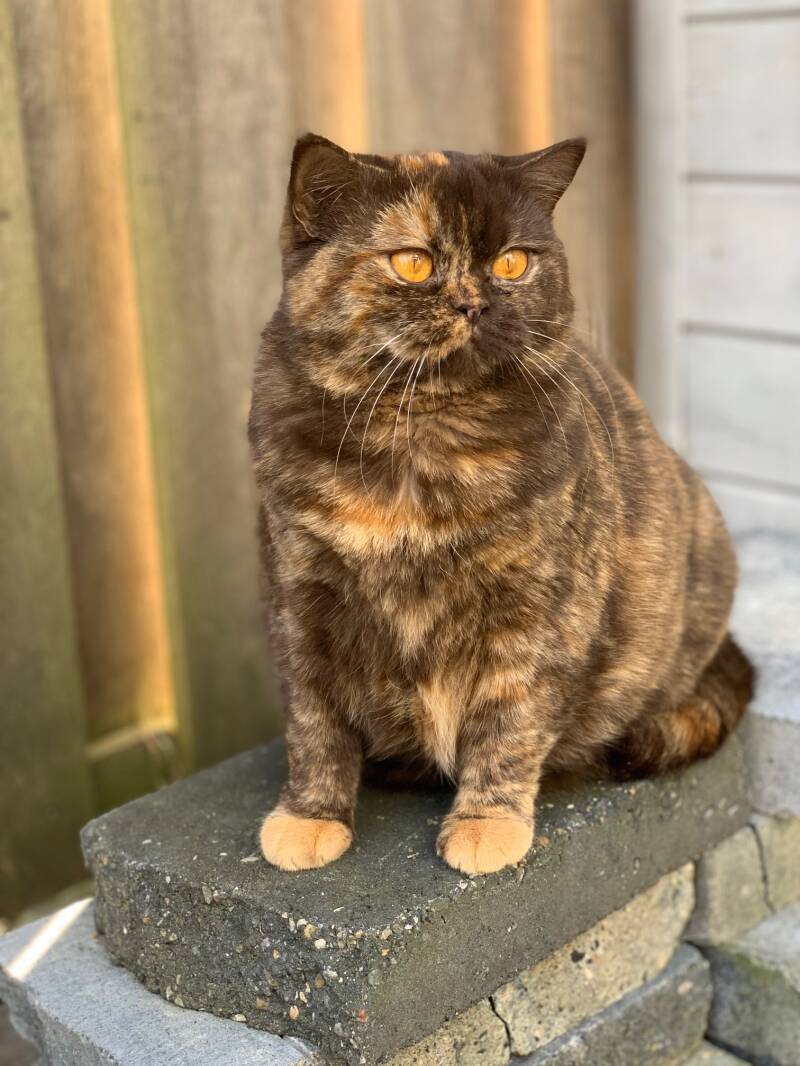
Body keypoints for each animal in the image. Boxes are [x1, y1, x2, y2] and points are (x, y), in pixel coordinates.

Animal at [248, 133, 753, 876]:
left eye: (512, 261)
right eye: (413, 261)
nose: (475, 303)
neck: (420, 441)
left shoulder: (537, 612)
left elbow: (507, 720)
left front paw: (486, 824)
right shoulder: (300, 601)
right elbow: (315, 723)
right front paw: (309, 817)